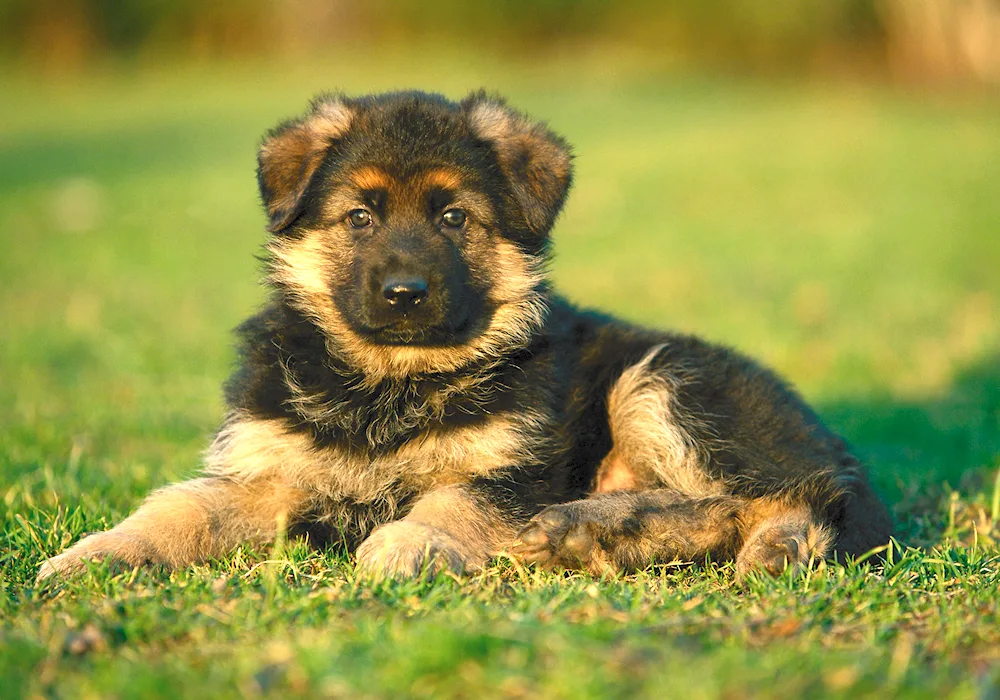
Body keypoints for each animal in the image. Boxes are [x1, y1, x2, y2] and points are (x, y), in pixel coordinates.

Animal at [37, 90, 892, 584]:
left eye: (454, 217)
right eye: (360, 217)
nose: (404, 293)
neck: (388, 380)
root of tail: (823, 434)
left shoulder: (510, 470)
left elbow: (450, 503)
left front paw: (405, 544)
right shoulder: (265, 471)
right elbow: (179, 510)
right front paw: (94, 555)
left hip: (664, 382)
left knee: (796, 495)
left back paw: (763, 544)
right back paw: (592, 534)